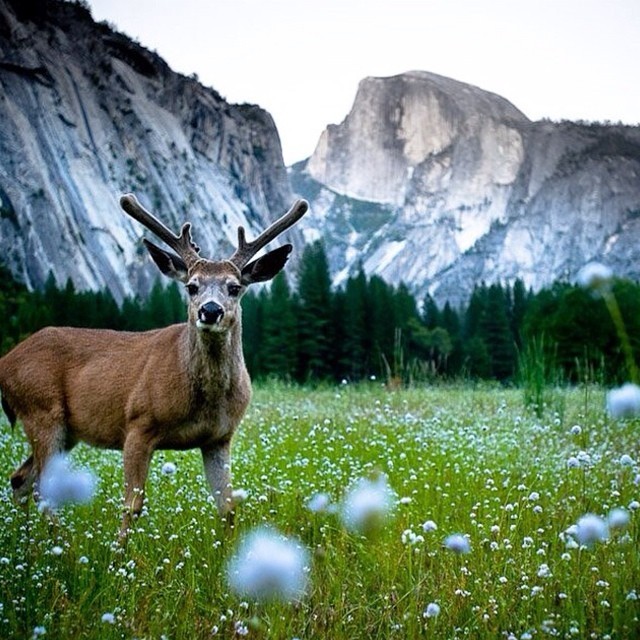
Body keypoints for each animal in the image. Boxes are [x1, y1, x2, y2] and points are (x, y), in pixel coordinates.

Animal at [0, 194, 310, 536]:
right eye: (191, 286)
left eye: (234, 287)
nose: (210, 311)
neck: (204, 400)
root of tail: (7, 359)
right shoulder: (138, 423)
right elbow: (132, 505)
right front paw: (120, 550)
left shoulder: (219, 438)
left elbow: (227, 508)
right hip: (41, 410)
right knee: (40, 486)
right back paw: (63, 543)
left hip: (66, 430)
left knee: (20, 479)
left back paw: (34, 540)